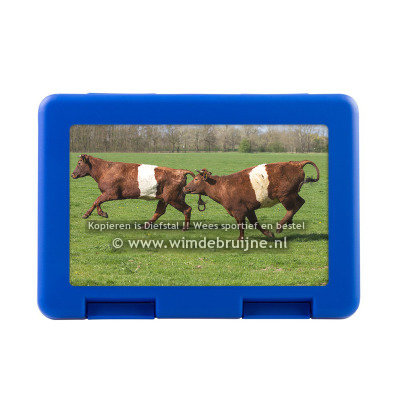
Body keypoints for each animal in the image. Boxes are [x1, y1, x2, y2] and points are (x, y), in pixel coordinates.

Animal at [71, 154, 205, 230]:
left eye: (79, 163)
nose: (72, 174)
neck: (105, 170)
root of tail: (180, 171)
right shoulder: (107, 193)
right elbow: (97, 202)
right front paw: (101, 213)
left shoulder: (110, 193)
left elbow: (96, 201)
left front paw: (89, 214)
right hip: (166, 198)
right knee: (159, 211)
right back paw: (144, 226)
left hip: (173, 198)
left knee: (187, 209)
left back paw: (185, 228)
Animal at [183, 161, 320, 240]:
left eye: (196, 179)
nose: (185, 188)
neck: (222, 186)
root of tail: (296, 163)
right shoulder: (249, 209)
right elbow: (255, 223)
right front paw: (268, 233)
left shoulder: (238, 211)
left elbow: (241, 225)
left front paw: (241, 239)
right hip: (291, 194)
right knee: (299, 203)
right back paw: (288, 222)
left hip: (285, 195)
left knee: (295, 206)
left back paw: (280, 225)